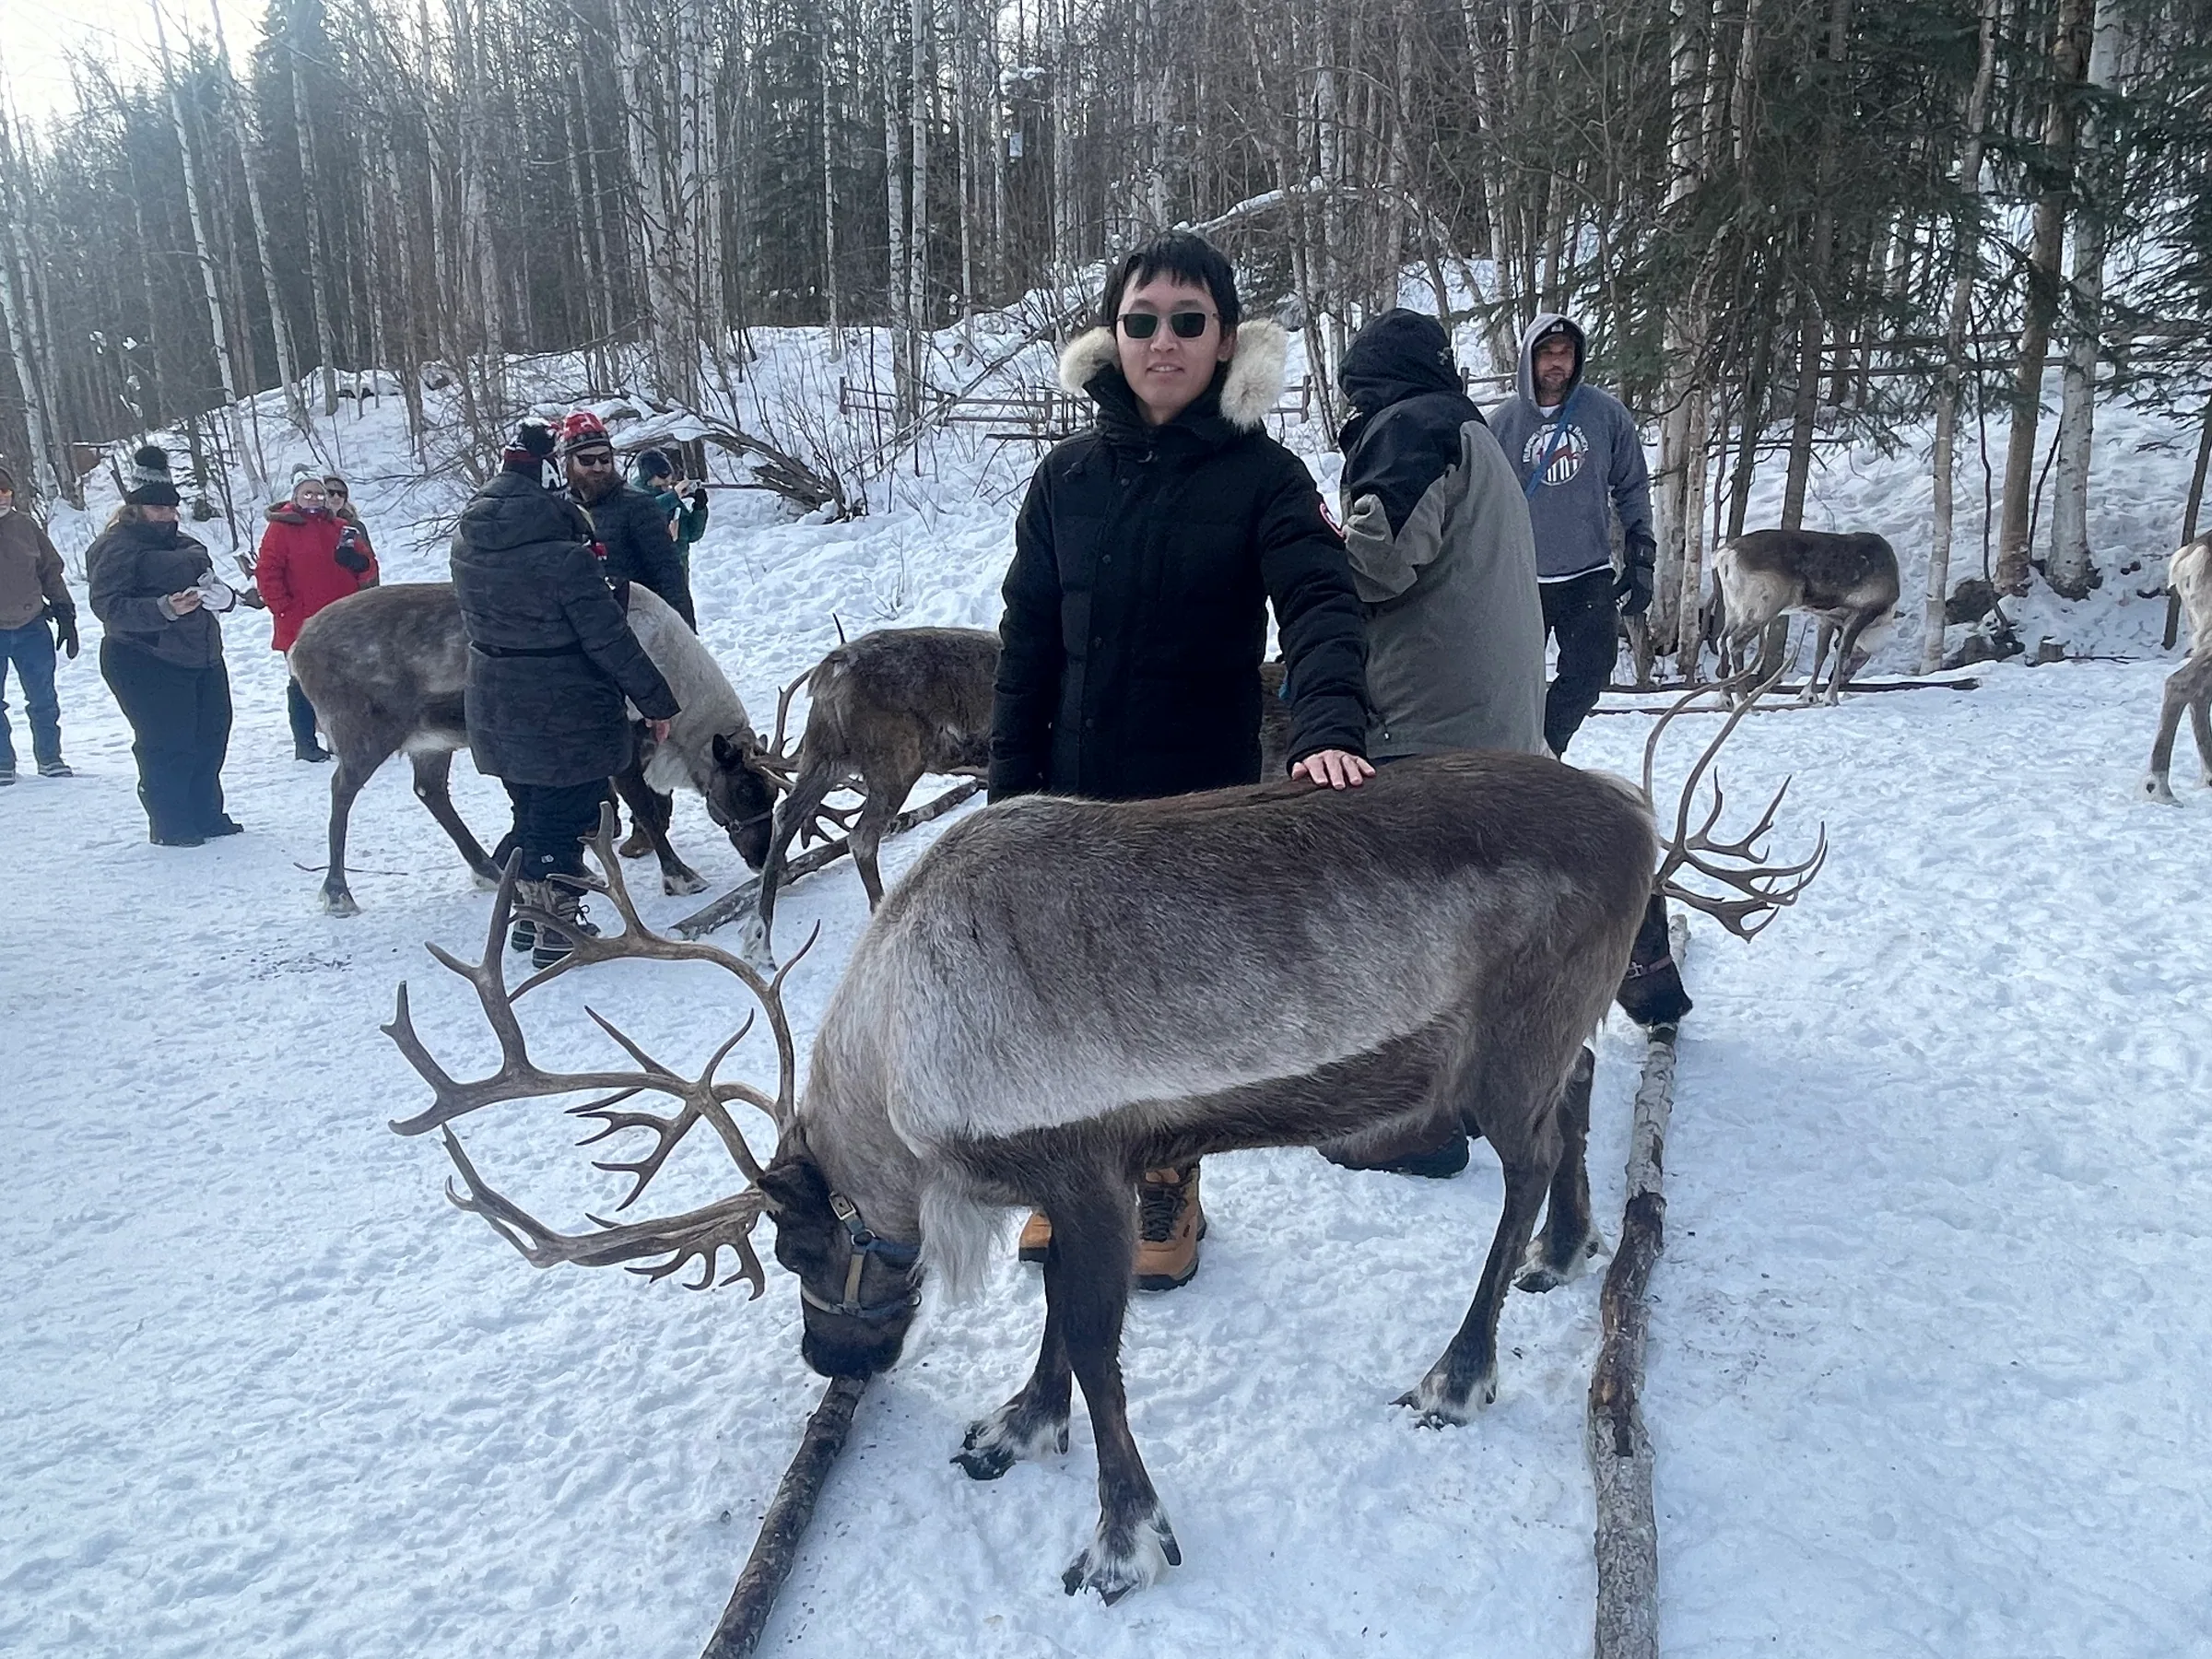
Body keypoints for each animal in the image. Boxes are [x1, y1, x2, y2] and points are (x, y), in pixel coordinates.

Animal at [288, 582, 781, 916]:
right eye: (743, 791)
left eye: (772, 793)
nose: (761, 859)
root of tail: (297, 646)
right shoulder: (623, 745)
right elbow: (646, 809)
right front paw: (681, 876)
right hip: (363, 734)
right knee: (342, 793)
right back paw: (338, 893)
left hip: (432, 740)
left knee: (431, 792)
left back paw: (489, 870)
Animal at [385, 682, 1822, 1603]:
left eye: (801, 1252)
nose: (823, 1361)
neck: (903, 1064)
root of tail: (1642, 820)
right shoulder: (1076, 1172)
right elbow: (1054, 1328)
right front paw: (1014, 1429)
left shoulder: (1081, 1165)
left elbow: (1092, 1341)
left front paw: (1124, 1540)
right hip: (1537, 1029)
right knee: (1580, 1092)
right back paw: (1571, 1252)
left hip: (1507, 1036)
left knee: (1519, 1164)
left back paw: (1460, 1371)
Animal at [1708, 528, 1900, 704]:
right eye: (1861, 657)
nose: (1839, 678)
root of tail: (1725, 554)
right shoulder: (1863, 611)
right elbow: (1842, 652)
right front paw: (1831, 698)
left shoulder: (1828, 617)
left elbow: (1821, 653)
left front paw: (1809, 694)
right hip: (1760, 609)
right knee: (1735, 642)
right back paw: (1742, 699)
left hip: (1732, 608)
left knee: (1721, 640)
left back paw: (1725, 698)